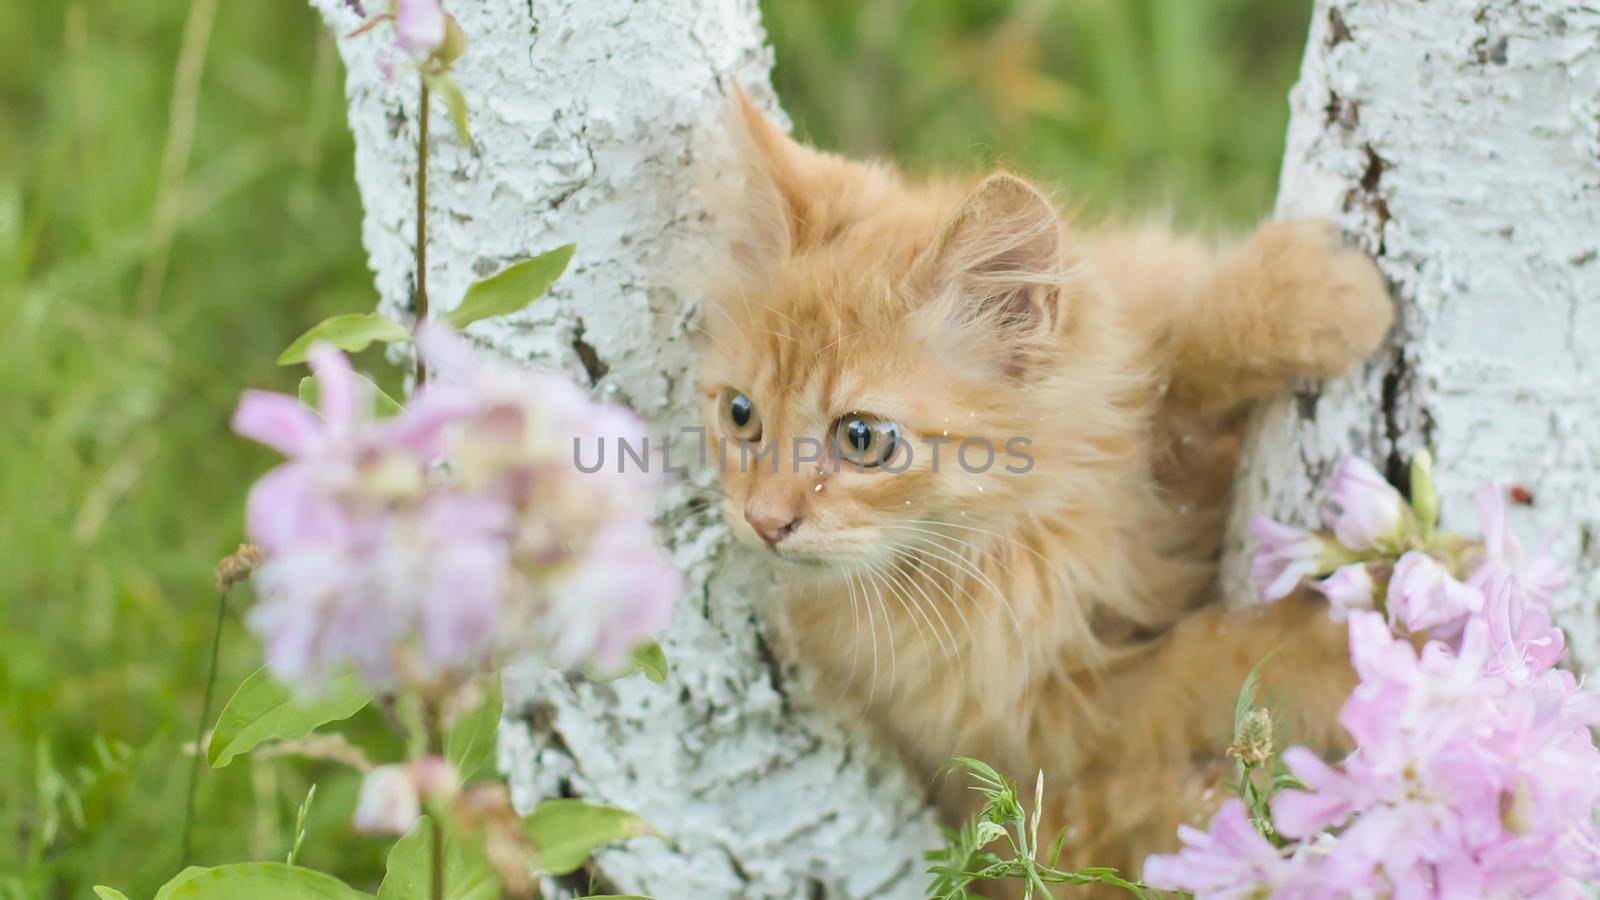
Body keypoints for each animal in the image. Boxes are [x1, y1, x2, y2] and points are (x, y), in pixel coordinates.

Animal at [694, 94, 1395, 877]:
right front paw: (1351, 653)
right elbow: (1210, 660)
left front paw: (1309, 294)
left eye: (861, 438)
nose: (763, 520)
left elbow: (1182, 355)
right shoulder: (1058, 719)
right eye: (741, 415)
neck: (1041, 522)